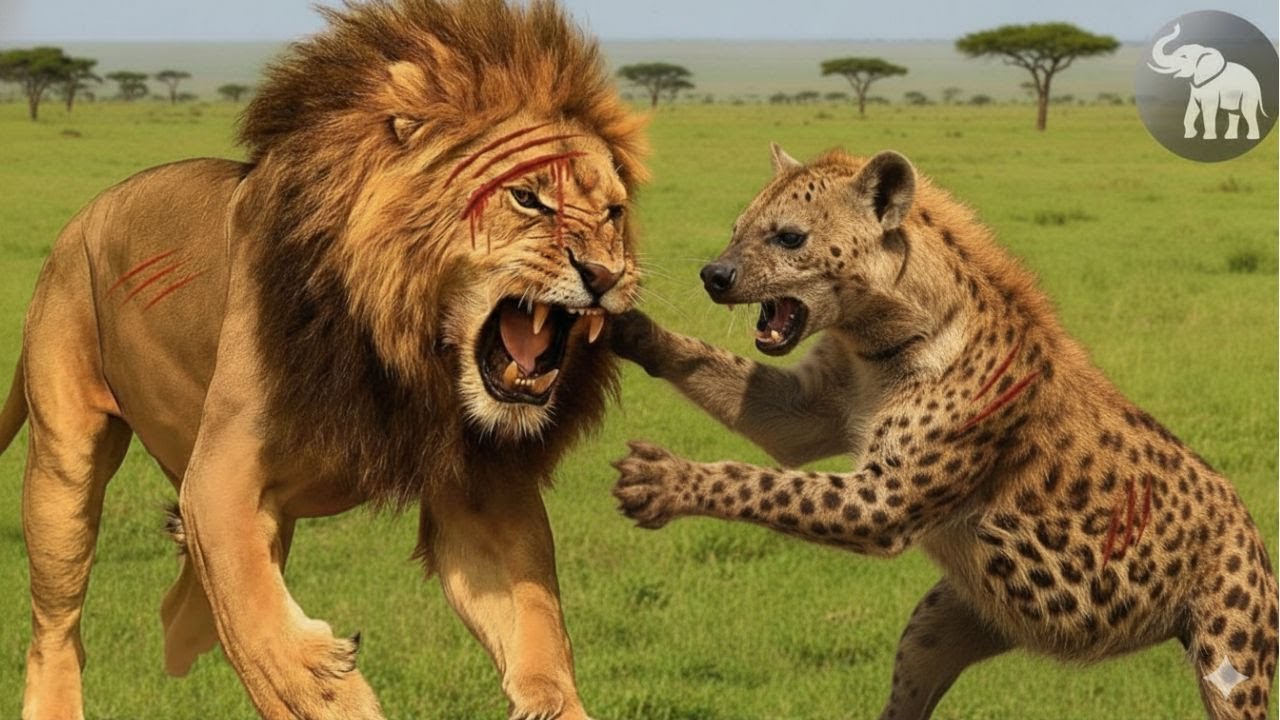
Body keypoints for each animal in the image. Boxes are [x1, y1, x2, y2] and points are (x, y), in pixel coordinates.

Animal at [0, 1, 646, 718]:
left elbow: (537, 629)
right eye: (526, 198)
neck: (402, 354)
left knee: (187, 597)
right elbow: (258, 623)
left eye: (613, 213)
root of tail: (77, 221)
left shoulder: (485, 492)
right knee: (57, 627)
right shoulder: (222, 476)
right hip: (64, 466)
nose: (606, 274)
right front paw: (325, 684)